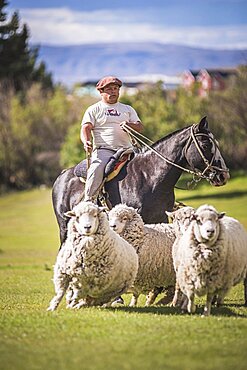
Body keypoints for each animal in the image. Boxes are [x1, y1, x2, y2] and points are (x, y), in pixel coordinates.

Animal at [52, 117, 230, 246]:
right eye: (205, 144)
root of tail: (62, 176)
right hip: (64, 226)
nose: (224, 175)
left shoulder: (160, 218)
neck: (150, 177)